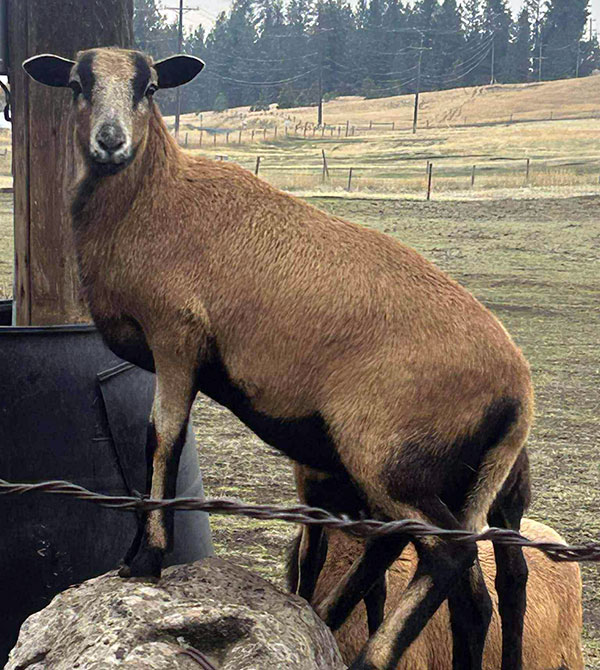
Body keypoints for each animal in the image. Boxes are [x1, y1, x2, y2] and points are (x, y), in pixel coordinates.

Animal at [24, 47, 534, 670]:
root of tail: (519, 388)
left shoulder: (177, 337)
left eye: (149, 87)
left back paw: (370, 656)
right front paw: (133, 554)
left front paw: (148, 560)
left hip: (388, 457)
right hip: (451, 479)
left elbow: (162, 439)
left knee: (449, 557)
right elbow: (154, 442)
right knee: (473, 598)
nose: (111, 142)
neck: (154, 199)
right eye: (78, 84)